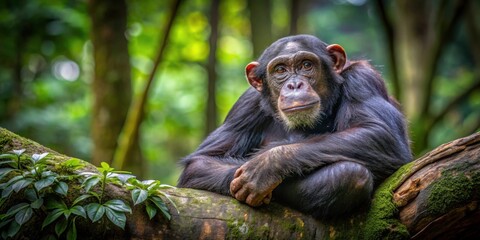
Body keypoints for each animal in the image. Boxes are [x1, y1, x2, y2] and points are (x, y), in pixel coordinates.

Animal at [178, 34, 410, 219]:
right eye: (280, 70)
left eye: (306, 65)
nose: (294, 84)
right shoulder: (245, 105)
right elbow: (203, 160)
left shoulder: (362, 78)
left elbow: (379, 133)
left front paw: (265, 166)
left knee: (351, 174)